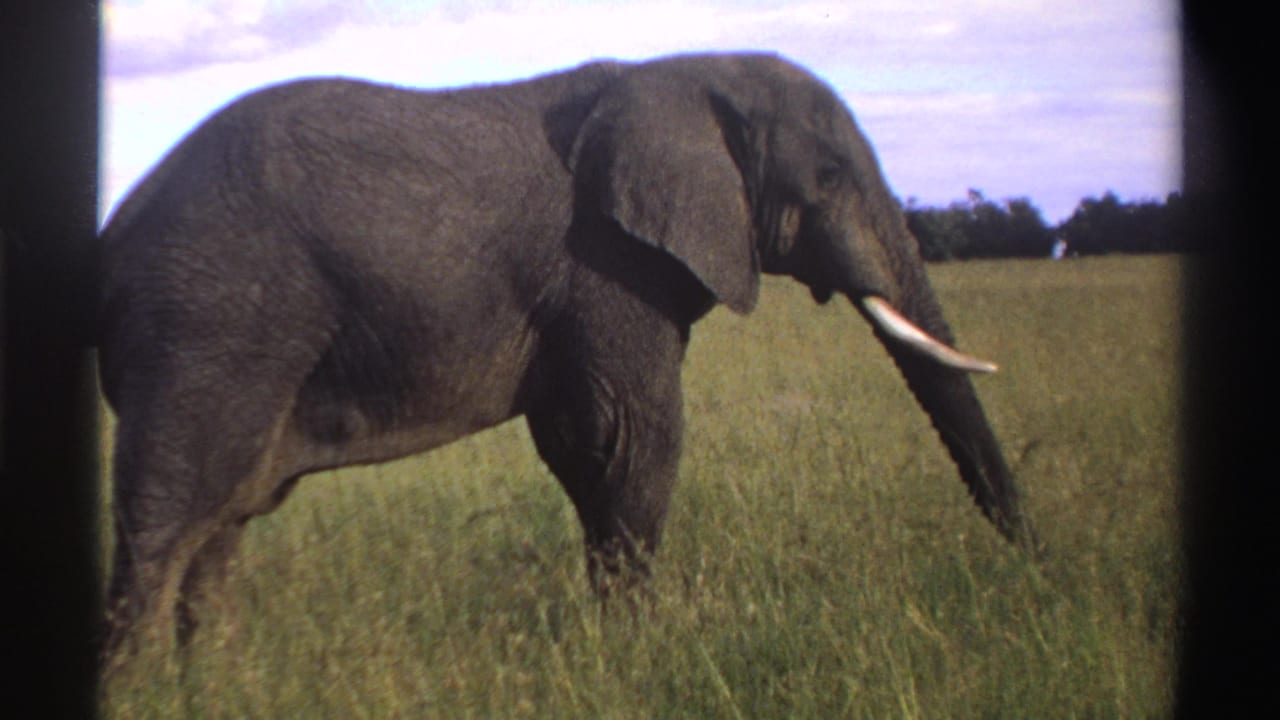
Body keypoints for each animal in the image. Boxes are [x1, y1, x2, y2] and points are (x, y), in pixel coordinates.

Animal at [97, 52, 1038, 661]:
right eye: (834, 175)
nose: (1034, 564)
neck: (684, 73)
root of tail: (115, 230)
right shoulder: (606, 264)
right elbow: (631, 437)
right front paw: (638, 654)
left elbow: (586, 445)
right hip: (210, 320)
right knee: (168, 519)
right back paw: (148, 689)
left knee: (222, 525)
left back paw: (218, 681)